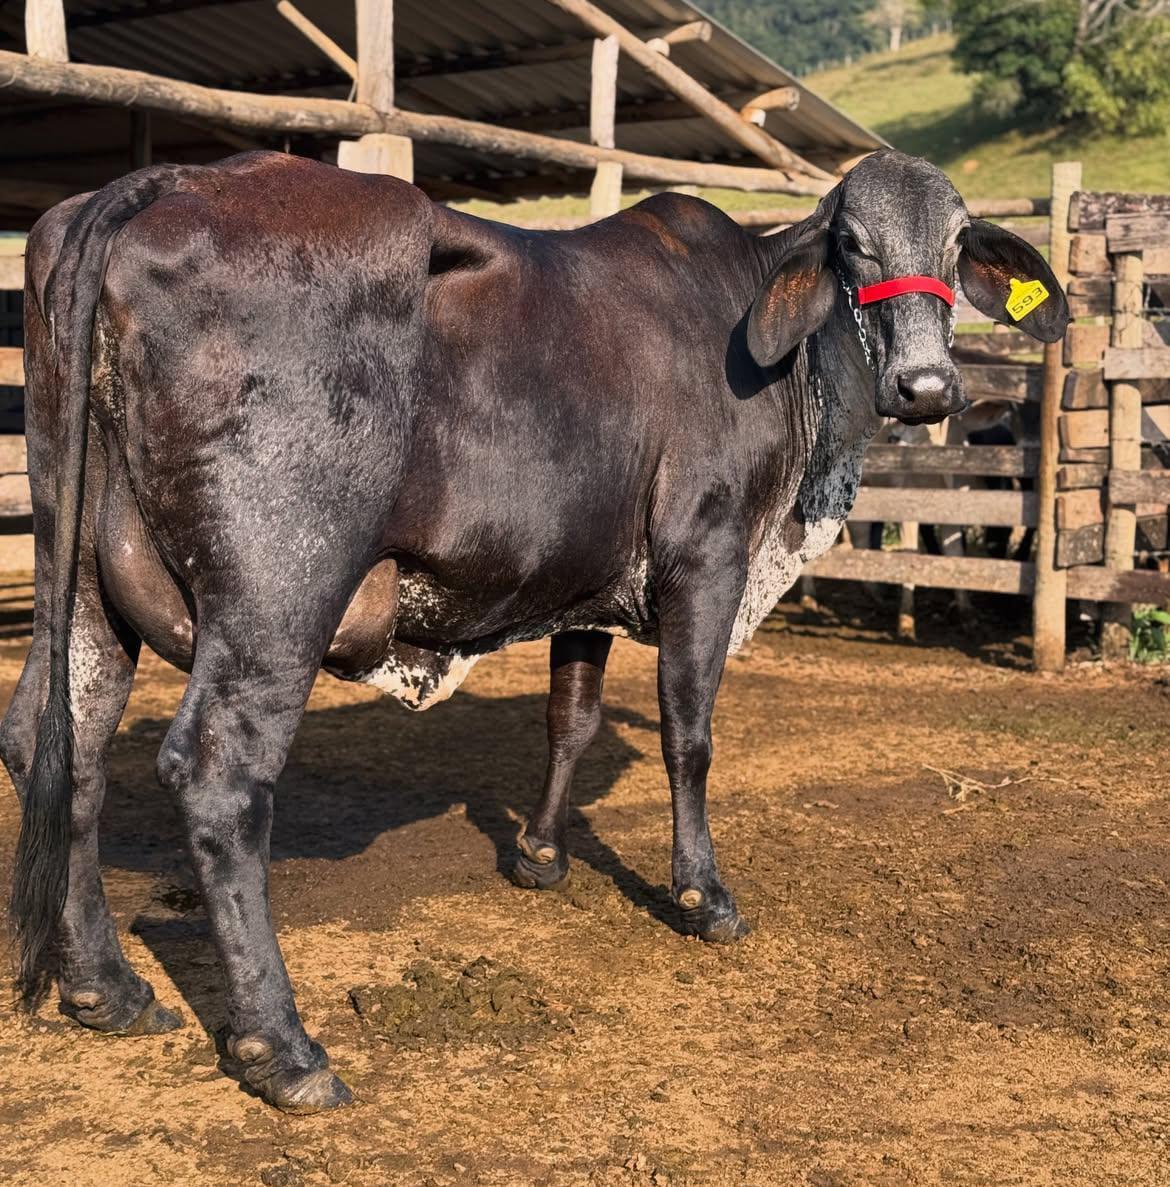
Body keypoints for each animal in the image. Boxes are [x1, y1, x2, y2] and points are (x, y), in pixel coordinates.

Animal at [2, 148, 1067, 1112]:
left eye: (957, 242)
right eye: (852, 243)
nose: (928, 388)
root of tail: (162, 183)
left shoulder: (583, 584)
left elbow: (573, 718)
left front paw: (540, 855)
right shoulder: (706, 556)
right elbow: (689, 737)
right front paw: (702, 894)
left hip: (83, 579)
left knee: (61, 742)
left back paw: (105, 987)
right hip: (276, 596)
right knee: (219, 777)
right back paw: (283, 1048)